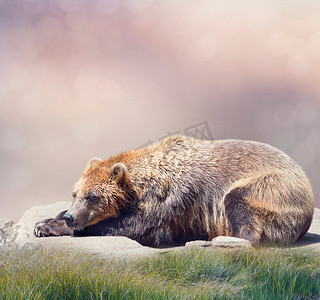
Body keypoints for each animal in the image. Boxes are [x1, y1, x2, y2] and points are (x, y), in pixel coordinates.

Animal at [33, 135, 314, 246]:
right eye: (75, 194)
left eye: (92, 196)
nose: (72, 216)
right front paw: (47, 220)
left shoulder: (172, 194)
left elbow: (135, 225)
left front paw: (51, 226)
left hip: (270, 187)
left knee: (238, 202)